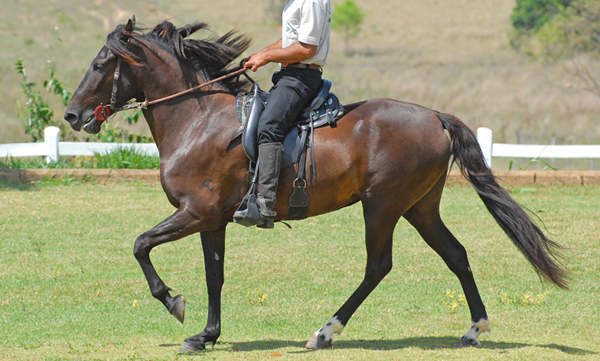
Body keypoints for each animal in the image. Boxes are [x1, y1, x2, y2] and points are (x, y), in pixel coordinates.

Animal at [63, 19, 564, 352]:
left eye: (101, 63)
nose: (71, 115)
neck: (196, 120)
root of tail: (434, 116)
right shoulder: (212, 219)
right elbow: (214, 275)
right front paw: (206, 335)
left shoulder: (196, 212)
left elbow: (140, 244)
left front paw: (173, 302)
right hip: (420, 206)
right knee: (455, 254)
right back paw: (475, 328)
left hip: (382, 205)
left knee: (378, 265)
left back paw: (325, 331)